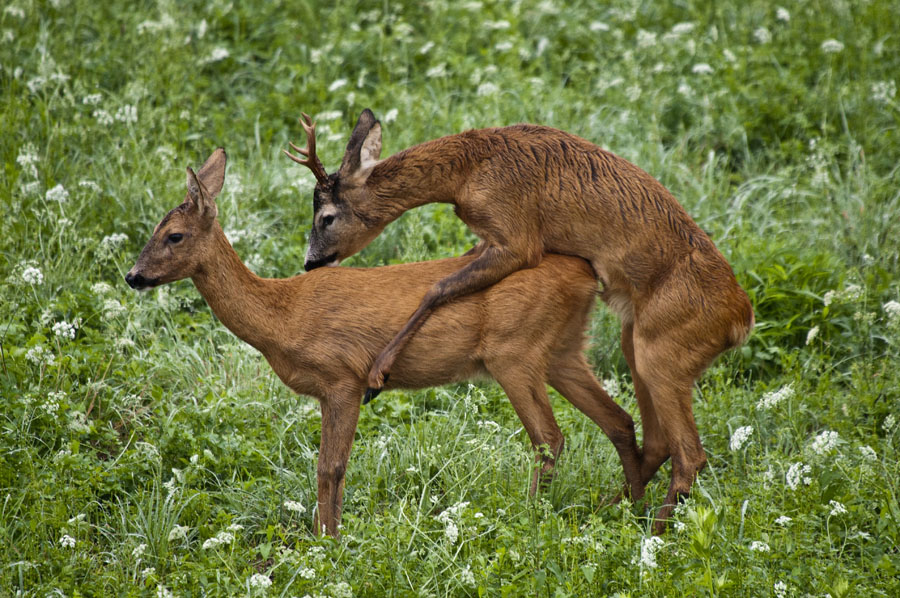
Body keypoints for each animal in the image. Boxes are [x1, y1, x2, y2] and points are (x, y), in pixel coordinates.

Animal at [128, 149, 648, 540]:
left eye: (174, 235)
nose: (133, 276)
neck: (281, 316)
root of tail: (587, 273)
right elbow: (326, 466)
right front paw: (323, 535)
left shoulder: (343, 378)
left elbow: (331, 467)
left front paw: (328, 539)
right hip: (562, 351)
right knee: (619, 420)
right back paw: (629, 507)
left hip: (513, 352)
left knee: (549, 437)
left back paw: (532, 513)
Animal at [286, 110, 752, 532]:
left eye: (327, 216)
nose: (310, 263)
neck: (468, 172)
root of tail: (739, 320)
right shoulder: (490, 240)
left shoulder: (517, 237)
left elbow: (438, 287)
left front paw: (378, 376)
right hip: (635, 342)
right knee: (654, 439)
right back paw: (618, 509)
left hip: (663, 352)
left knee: (690, 454)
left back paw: (650, 531)